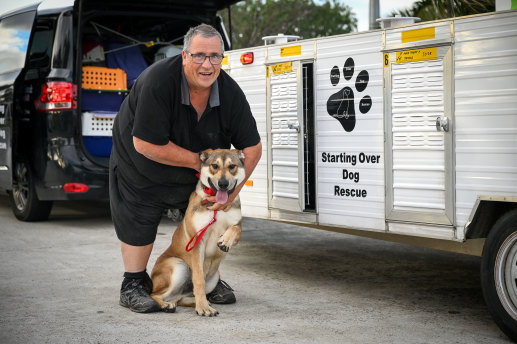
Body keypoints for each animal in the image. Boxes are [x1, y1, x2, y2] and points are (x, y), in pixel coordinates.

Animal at [150, 149, 245, 316]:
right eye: (215, 166)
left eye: (232, 166)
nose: (223, 184)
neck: (217, 205)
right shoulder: (197, 241)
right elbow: (199, 279)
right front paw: (203, 308)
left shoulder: (237, 225)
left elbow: (234, 229)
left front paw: (225, 241)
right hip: (178, 266)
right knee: (155, 294)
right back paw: (167, 305)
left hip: (214, 278)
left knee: (181, 298)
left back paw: (199, 302)